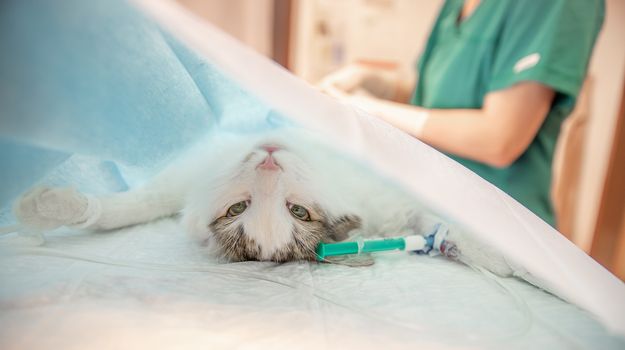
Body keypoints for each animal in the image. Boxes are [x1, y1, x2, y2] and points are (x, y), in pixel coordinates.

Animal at [12, 129, 516, 276]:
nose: (270, 160)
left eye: (298, 212)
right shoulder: (190, 174)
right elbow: (133, 206)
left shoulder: (387, 196)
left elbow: (436, 216)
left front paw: (491, 251)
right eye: (239, 209)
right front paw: (58, 208)